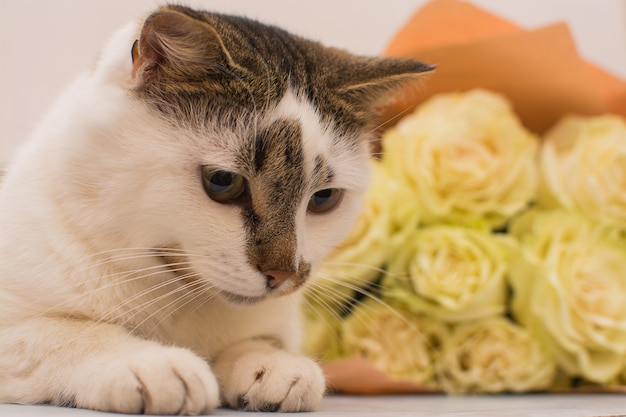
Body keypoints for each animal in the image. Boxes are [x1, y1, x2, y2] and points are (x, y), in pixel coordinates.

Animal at [0, 4, 428, 414]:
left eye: (324, 199)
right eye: (223, 181)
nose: (283, 274)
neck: (176, 300)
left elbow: (256, 340)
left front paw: (272, 364)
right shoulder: (17, 333)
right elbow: (67, 333)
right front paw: (152, 364)